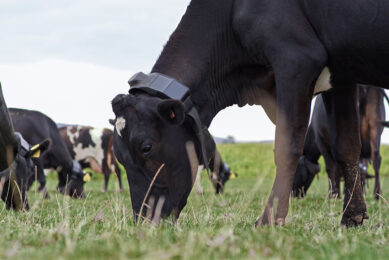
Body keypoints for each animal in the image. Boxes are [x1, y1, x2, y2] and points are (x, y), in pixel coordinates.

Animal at [110, 1, 389, 226]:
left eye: (146, 147)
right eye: (119, 157)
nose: (144, 219)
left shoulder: (295, 59)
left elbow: (287, 145)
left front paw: (268, 220)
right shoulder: (340, 77)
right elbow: (347, 145)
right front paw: (352, 216)